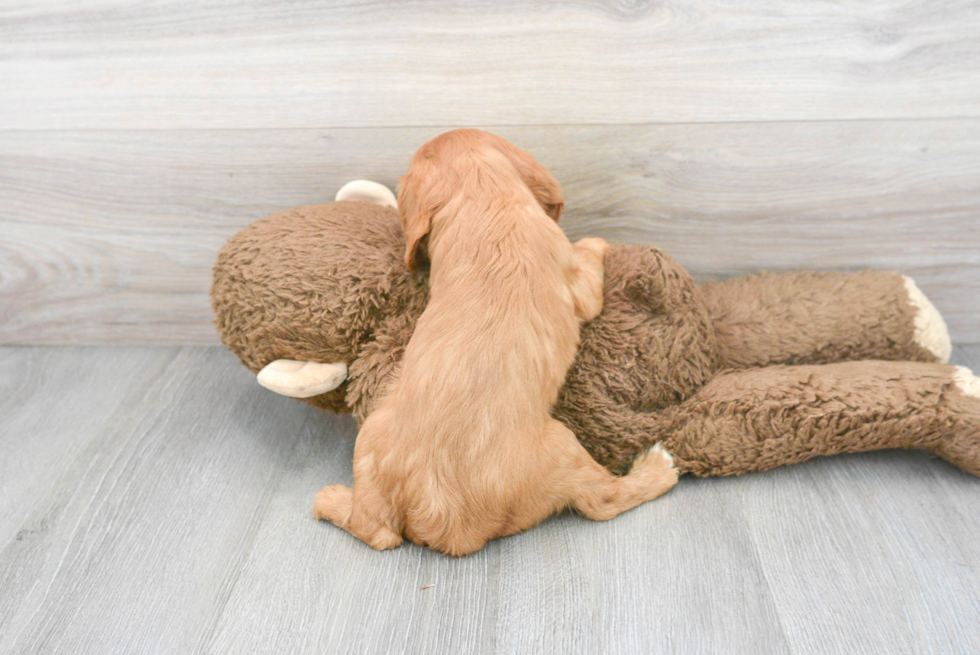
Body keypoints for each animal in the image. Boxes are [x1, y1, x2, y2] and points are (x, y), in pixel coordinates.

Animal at [312, 127, 672, 552]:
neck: (484, 195)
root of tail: (438, 513)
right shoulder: (580, 288)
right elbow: (586, 257)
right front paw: (598, 242)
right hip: (563, 445)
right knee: (604, 501)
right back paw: (658, 466)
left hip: (370, 437)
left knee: (374, 530)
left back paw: (331, 499)